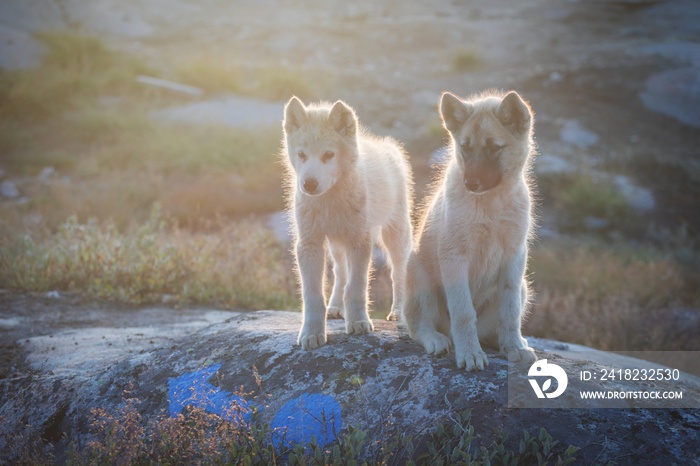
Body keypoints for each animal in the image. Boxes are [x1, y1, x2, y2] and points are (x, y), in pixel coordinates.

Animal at [284, 95, 412, 350]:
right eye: (302, 155)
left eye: (328, 155)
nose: (309, 184)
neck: (329, 201)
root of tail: (387, 146)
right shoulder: (309, 244)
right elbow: (313, 295)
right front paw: (311, 333)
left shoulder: (359, 241)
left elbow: (356, 287)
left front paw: (359, 322)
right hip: (335, 242)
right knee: (340, 272)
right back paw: (335, 307)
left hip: (394, 234)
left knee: (398, 272)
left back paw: (397, 311)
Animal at [402, 89, 540, 370]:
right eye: (464, 147)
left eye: (494, 148)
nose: (470, 183)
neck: (491, 203)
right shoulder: (455, 257)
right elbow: (464, 313)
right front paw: (470, 354)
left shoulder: (514, 257)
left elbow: (510, 312)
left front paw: (515, 346)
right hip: (418, 274)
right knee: (419, 324)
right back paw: (437, 339)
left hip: (523, 286)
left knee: (492, 328)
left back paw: (507, 342)